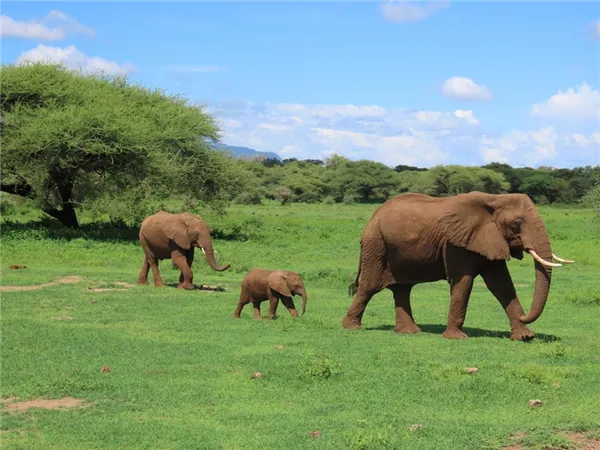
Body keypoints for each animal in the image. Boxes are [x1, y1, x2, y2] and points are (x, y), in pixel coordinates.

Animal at [340, 191, 576, 342]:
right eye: (517, 224)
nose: (524, 315)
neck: (494, 199)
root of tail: (373, 216)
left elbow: (502, 285)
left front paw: (525, 337)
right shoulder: (454, 243)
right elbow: (463, 282)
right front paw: (457, 338)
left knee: (402, 289)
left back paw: (410, 332)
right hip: (375, 244)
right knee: (369, 286)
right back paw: (351, 328)